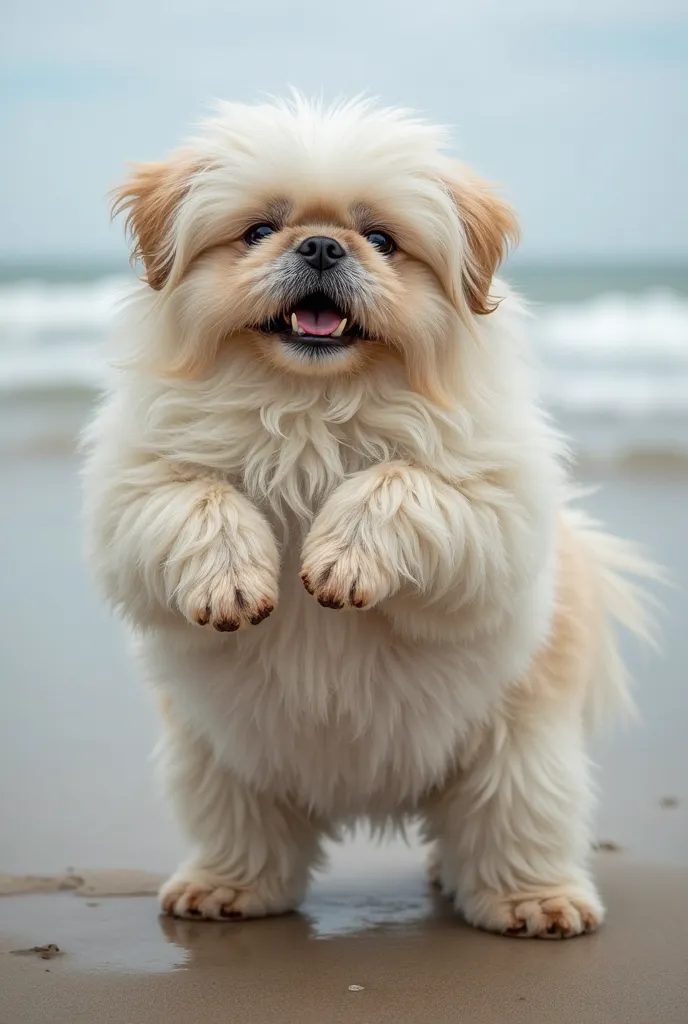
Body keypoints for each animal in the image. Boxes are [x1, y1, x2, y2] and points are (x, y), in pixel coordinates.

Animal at [80, 96, 651, 937]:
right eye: (259, 229)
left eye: (380, 240)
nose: (322, 245)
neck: (309, 405)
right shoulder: (135, 493)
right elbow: (201, 496)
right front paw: (233, 582)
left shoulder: (489, 513)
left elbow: (396, 480)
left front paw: (340, 561)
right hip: (216, 760)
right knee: (248, 834)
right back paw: (227, 888)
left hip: (521, 756)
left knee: (513, 828)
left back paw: (531, 901)